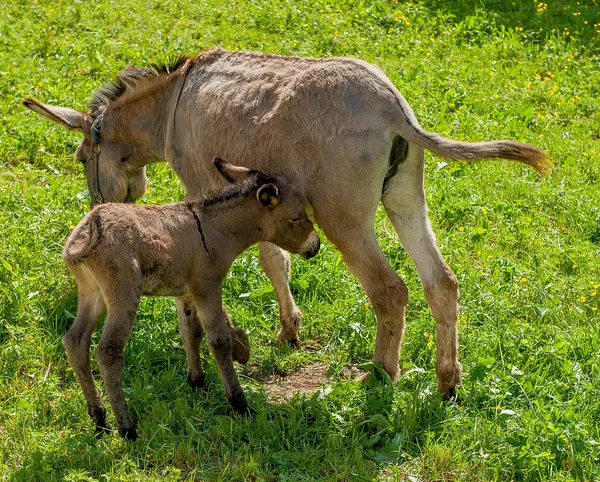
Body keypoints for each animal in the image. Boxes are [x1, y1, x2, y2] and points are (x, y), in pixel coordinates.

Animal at [63, 159, 322, 440]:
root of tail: (89, 230)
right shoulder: (207, 287)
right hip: (123, 294)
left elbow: (191, 332)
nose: (316, 246)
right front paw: (239, 403)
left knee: (75, 342)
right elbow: (218, 342)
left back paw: (99, 418)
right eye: (295, 217)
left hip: (93, 294)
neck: (214, 228)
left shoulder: (187, 293)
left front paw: (198, 381)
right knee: (108, 352)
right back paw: (127, 428)